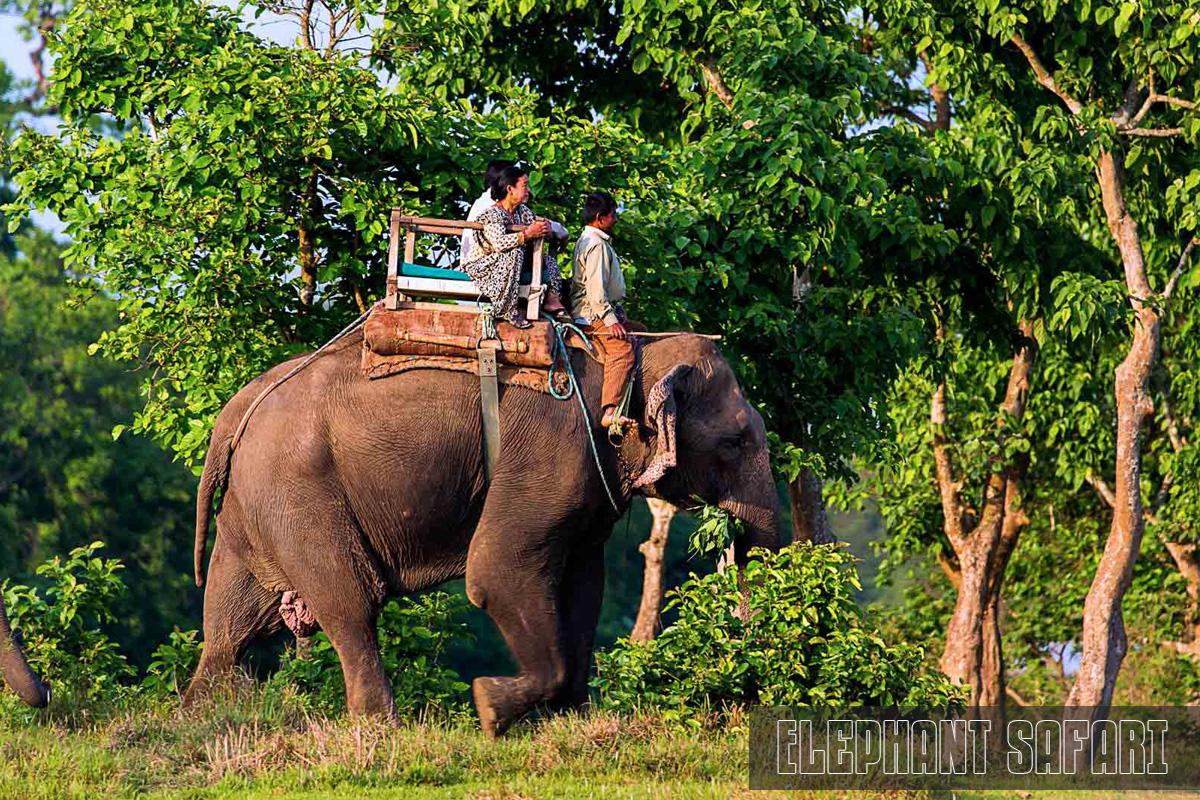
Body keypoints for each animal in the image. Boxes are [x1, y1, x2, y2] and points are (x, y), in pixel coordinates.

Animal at [186, 326, 777, 738]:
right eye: (735, 442)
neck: (628, 350)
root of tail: (234, 413)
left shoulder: (588, 478)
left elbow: (584, 584)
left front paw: (568, 721)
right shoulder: (549, 452)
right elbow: (496, 573)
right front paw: (490, 709)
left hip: (255, 509)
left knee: (231, 622)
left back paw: (200, 715)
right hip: (298, 498)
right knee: (351, 603)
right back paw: (382, 727)